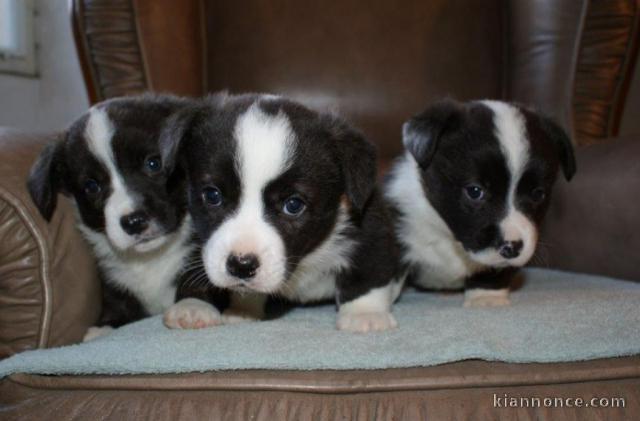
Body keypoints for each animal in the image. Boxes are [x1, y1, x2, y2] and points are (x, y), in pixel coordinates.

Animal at [26, 95, 218, 338]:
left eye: (154, 163)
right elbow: (117, 301)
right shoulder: (114, 280)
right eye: (92, 186)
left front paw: (192, 306)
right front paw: (105, 326)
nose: (134, 222)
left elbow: (198, 275)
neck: (149, 259)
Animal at [160, 94, 402, 332]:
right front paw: (194, 305)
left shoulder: (370, 226)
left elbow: (367, 274)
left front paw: (365, 314)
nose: (241, 265)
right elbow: (195, 263)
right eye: (212, 195)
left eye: (293, 205)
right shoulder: (197, 232)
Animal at [382, 100, 576, 306]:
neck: (451, 239)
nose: (511, 248)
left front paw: (486, 298)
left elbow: (491, 271)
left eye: (538, 194)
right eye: (475, 191)